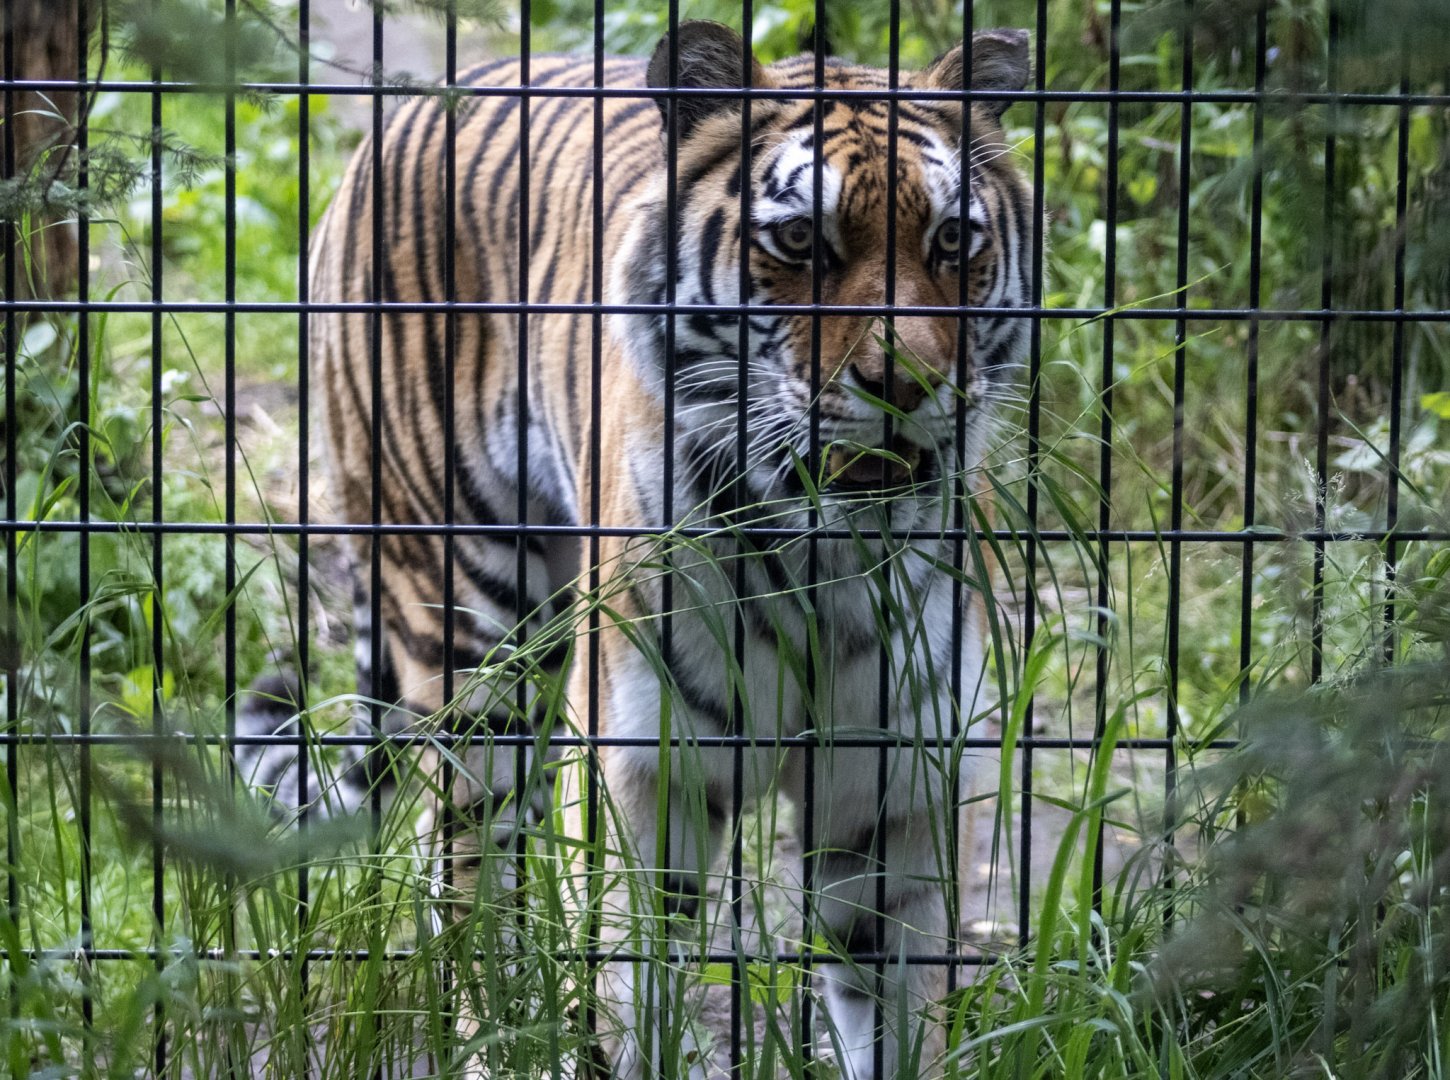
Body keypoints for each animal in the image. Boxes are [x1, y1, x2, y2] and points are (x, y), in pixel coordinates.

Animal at [241, 20, 1032, 1079]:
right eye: (798, 242)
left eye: (953, 242)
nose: (905, 384)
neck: (827, 559)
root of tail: (418, 102)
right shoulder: (648, 777)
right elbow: (632, 989)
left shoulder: (894, 791)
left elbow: (899, 1012)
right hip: (468, 630)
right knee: (468, 876)